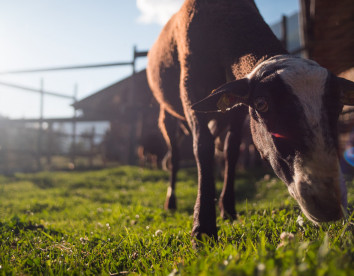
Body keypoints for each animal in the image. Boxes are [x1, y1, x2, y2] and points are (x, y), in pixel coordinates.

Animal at [146, 0, 354, 240]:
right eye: (262, 103)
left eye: (338, 105)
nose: (328, 203)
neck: (226, 17)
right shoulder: (191, 90)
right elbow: (202, 148)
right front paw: (203, 228)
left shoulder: (236, 109)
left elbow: (232, 151)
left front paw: (228, 209)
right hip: (167, 114)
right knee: (175, 156)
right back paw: (171, 201)